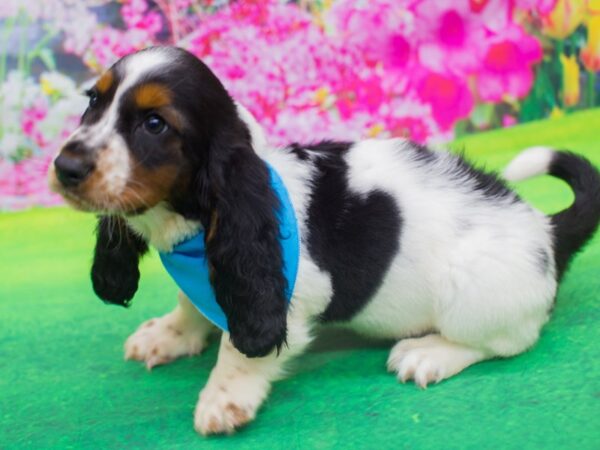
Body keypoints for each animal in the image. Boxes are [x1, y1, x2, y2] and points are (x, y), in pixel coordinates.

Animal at [49, 46, 600, 436]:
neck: (187, 228)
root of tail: (546, 230)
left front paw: (222, 399)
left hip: (473, 295)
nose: (64, 167)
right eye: (93, 102)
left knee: (507, 342)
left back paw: (430, 354)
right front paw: (170, 334)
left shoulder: (285, 300)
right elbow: (193, 301)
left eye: (154, 123)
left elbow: (241, 349)